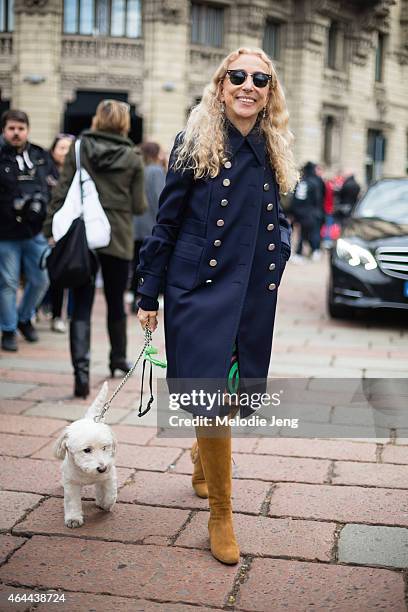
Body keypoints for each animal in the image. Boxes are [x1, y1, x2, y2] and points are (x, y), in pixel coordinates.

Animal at [53, 382, 117, 524]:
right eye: (87, 450)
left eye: (105, 447)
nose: (102, 468)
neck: (87, 473)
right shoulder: (72, 483)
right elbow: (72, 502)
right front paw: (73, 518)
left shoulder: (109, 475)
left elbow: (110, 493)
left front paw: (105, 504)